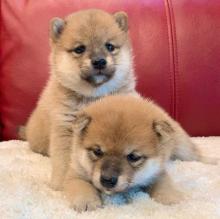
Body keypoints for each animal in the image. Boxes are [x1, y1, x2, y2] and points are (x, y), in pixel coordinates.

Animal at [24, 9, 137, 190]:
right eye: (79, 49)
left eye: (110, 46)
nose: (99, 61)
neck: (94, 95)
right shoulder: (65, 129)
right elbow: (64, 162)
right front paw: (61, 184)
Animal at [62, 95, 203, 211]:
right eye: (97, 151)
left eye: (133, 157)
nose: (107, 180)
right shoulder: (75, 172)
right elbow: (80, 185)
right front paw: (86, 201)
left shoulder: (157, 172)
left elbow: (164, 184)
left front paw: (170, 199)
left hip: (183, 149)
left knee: (196, 154)